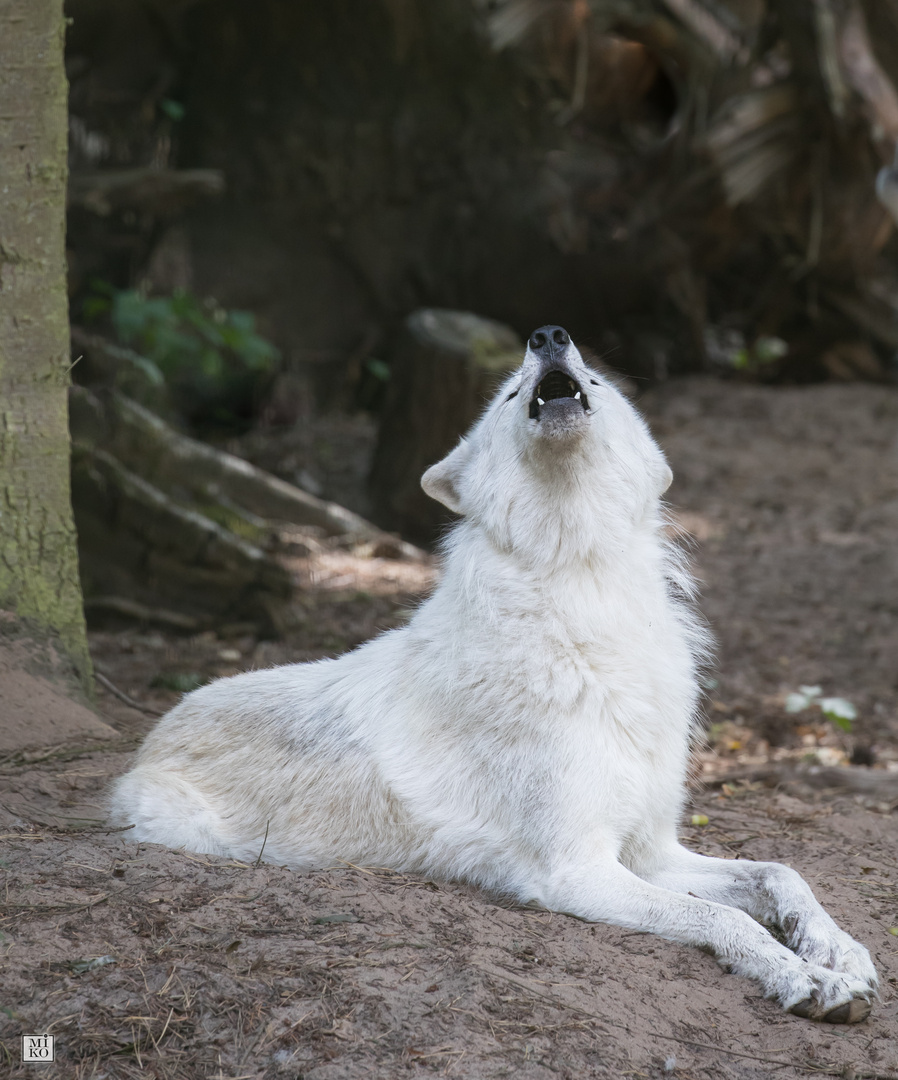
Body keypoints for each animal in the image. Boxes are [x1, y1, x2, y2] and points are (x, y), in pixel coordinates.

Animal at [110, 324, 877, 1023]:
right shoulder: (580, 869)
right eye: (511, 393)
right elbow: (730, 920)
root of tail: (153, 735)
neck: (584, 593)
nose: (548, 335)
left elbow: (781, 872)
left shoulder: (651, 852)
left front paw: (839, 952)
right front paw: (803, 978)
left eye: (594, 380)